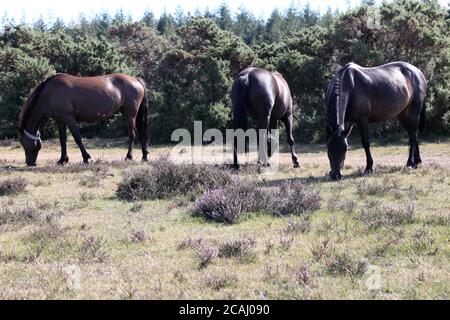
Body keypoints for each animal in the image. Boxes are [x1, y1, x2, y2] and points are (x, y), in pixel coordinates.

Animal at [18, 73, 149, 166]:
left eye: (25, 144)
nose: (30, 163)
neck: (50, 92)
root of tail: (136, 80)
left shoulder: (69, 118)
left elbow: (77, 138)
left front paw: (87, 158)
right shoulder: (60, 120)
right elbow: (62, 140)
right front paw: (62, 160)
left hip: (130, 114)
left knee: (132, 134)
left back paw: (129, 157)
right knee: (141, 133)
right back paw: (144, 156)